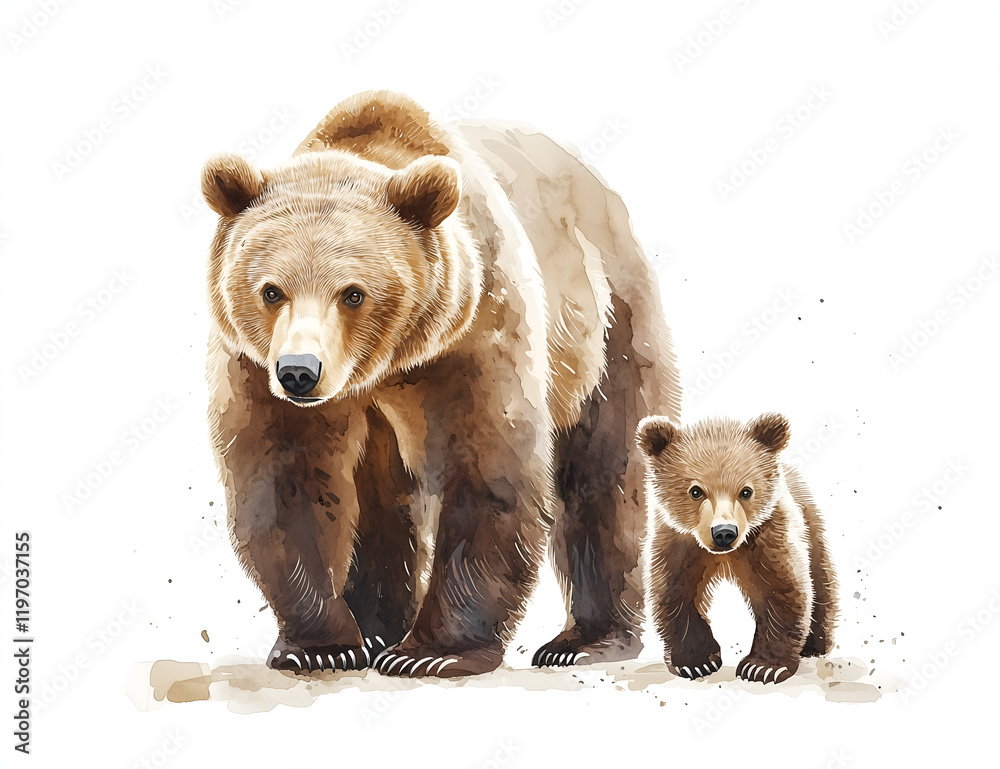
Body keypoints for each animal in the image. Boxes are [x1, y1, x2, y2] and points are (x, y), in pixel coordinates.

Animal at [201, 90, 680, 678]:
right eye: (271, 291)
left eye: (353, 293)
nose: (298, 371)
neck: (382, 367)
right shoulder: (255, 367)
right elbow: (286, 479)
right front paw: (322, 645)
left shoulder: (475, 334)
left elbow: (486, 470)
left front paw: (433, 652)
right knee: (381, 500)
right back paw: (377, 629)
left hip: (611, 320)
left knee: (603, 470)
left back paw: (585, 640)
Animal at [635, 413, 838, 684]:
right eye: (696, 491)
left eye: (746, 491)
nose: (724, 533)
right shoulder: (677, 542)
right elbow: (674, 593)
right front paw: (696, 662)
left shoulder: (769, 535)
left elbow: (783, 590)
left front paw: (762, 667)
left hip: (810, 523)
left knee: (821, 579)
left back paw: (815, 644)